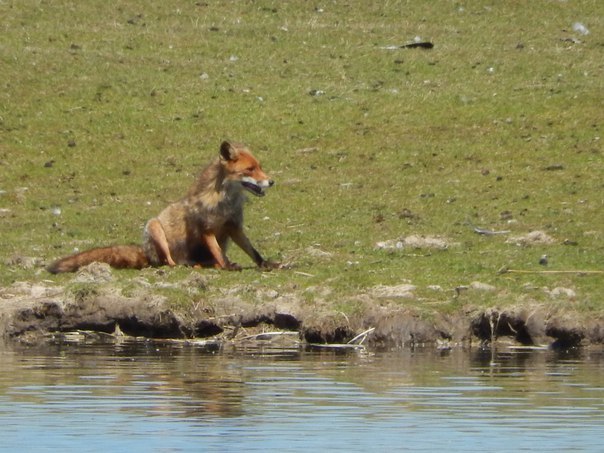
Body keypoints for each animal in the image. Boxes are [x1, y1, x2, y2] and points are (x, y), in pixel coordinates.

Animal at [47, 141, 276, 274]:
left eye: (260, 167)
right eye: (250, 169)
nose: (271, 181)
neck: (224, 202)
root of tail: (146, 252)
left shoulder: (233, 227)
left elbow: (253, 251)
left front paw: (266, 264)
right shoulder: (206, 229)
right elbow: (219, 252)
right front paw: (229, 266)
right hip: (155, 228)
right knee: (170, 262)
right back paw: (193, 264)